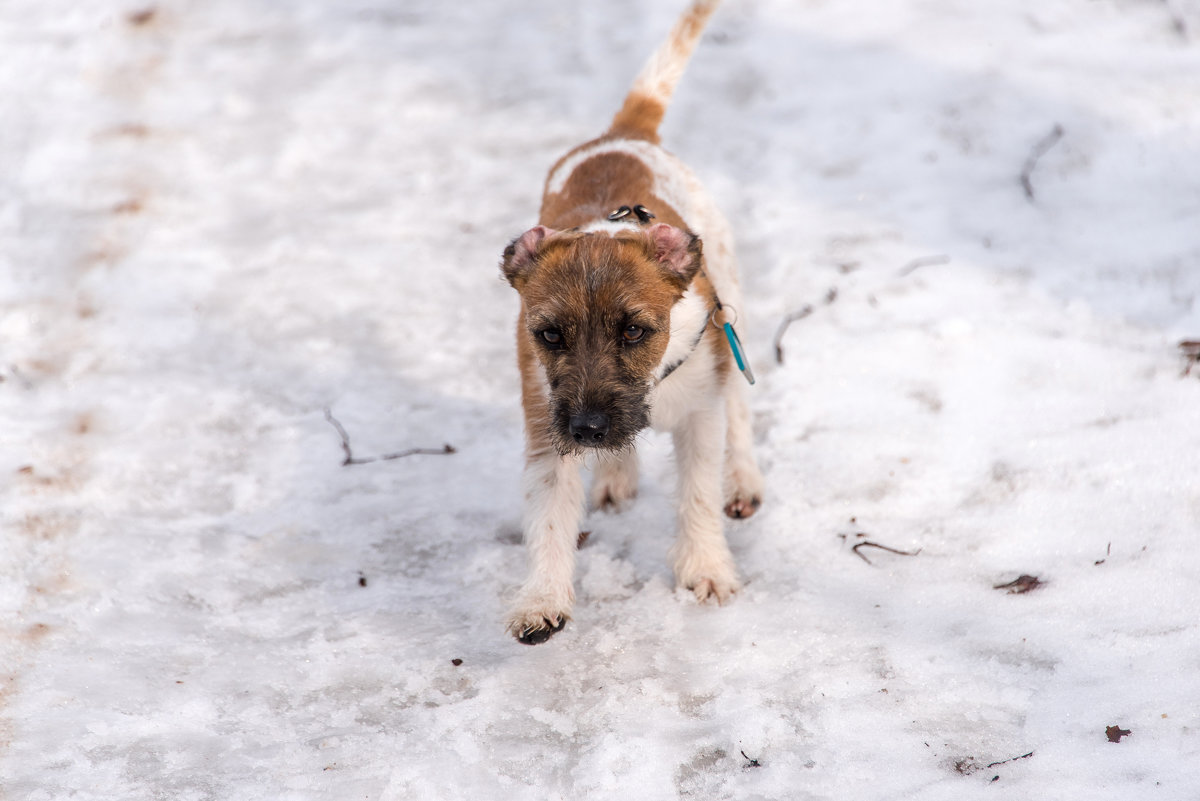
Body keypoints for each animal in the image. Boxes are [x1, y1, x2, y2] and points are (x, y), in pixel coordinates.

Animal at [501, 0, 763, 642]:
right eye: (549, 334)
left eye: (634, 331)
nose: (591, 429)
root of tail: (623, 134)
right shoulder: (548, 423)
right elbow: (548, 514)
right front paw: (541, 600)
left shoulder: (701, 412)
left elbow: (697, 491)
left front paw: (706, 570)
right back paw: (617, 473)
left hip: (732, 303)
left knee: (743, 408)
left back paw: (743, 479)